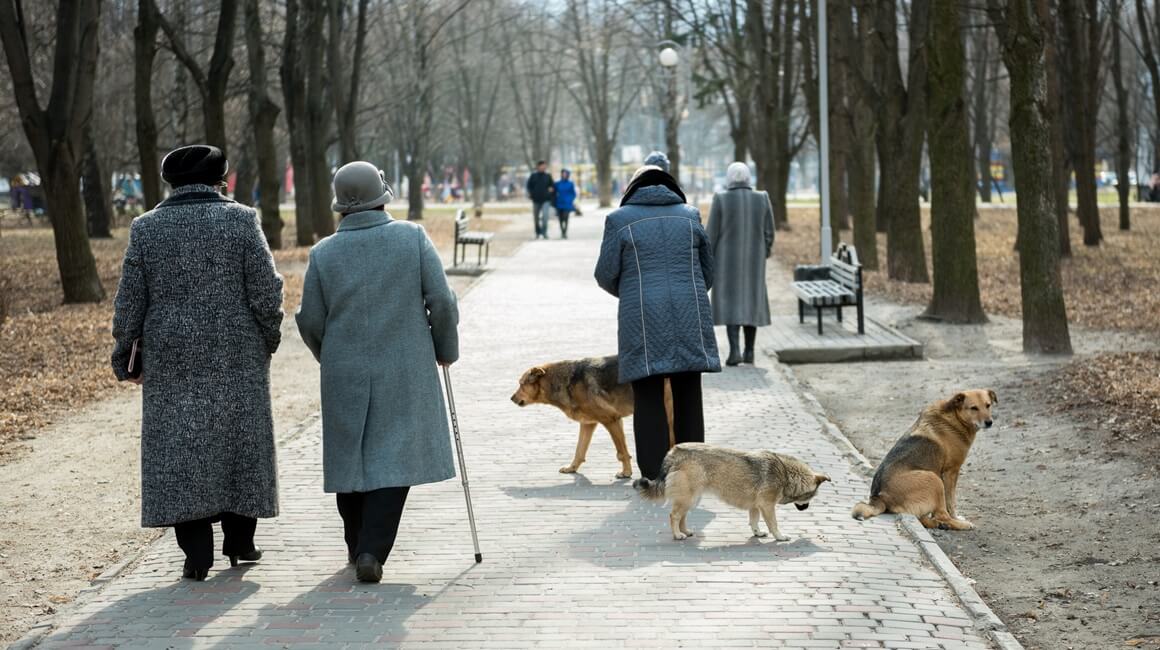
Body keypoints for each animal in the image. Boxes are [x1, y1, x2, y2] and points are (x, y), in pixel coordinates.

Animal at [853, 387, 997, 531]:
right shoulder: (951, 472)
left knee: (928, 517)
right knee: (942, 515)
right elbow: (951, 503)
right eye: (974, 408)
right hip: (933, 478)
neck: (954, 417)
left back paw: (938, 524)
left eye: (988, 405)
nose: (989, 422)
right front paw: (956, 518)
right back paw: (960, 524)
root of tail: (878, 497)